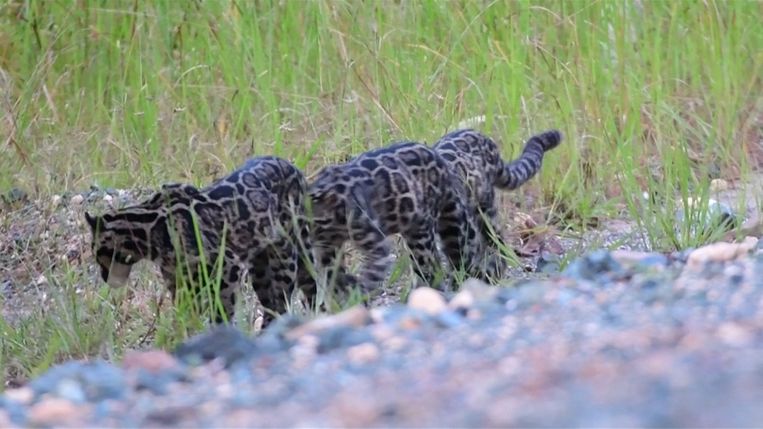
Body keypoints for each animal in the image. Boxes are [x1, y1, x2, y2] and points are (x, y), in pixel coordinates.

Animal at [86, 157, 316, 324]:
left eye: (97, 255)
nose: (104, 278)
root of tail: (294, 167)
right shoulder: (178, 280)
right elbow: (186, 312)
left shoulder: (228, 267)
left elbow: (223, 308)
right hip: (260, 268)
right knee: (273, 304)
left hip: (287, 257)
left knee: (291, 298)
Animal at [308, 141, 492, 294]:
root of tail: (446, 168)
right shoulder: (327, 250)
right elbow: (332, 274)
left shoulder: (375, 244)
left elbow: (372, 272)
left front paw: (357, 293)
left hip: (424, 234)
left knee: (436, 267)